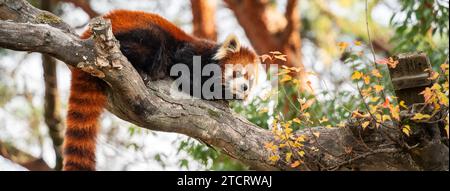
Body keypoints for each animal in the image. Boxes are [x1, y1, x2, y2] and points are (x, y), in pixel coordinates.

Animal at [63, 10, 260, 171]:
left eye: (250, 81)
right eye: (238, 73)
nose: (244, 87)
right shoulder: (189, 53)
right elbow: (184, 72)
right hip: (140, 35)